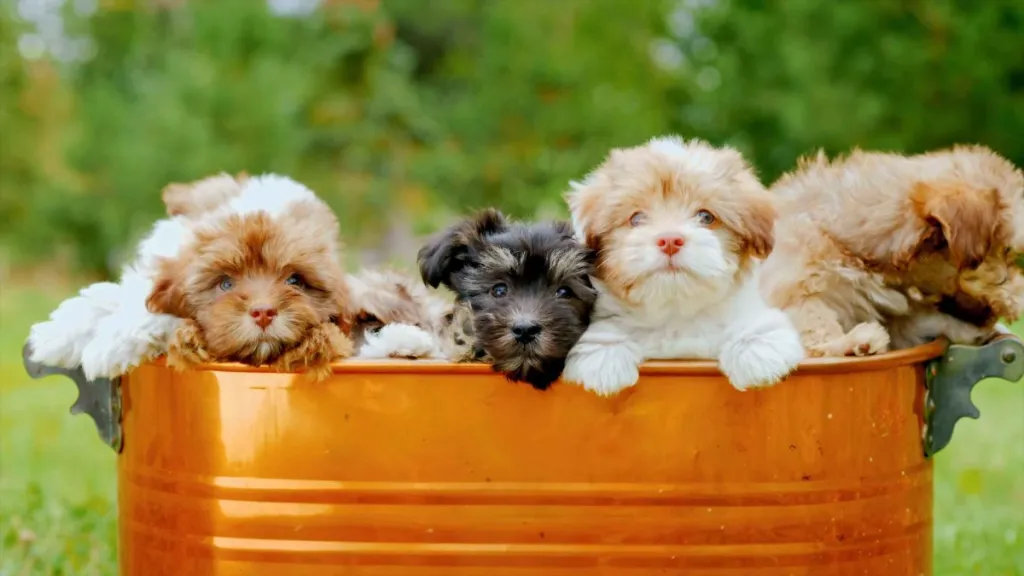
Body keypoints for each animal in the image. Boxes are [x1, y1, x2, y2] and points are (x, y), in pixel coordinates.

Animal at [561, 135, 806, 393]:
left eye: (706, 217)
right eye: (636, 218)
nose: (670, 240)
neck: (676, 312)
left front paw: (756, 347)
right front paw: (606, 355)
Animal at [761, 144, 1024, 354]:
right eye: (1007, 251)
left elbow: (915, 322)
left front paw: (967, 330)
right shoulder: (791, 286)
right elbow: (812, 322)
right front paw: (850, 343)